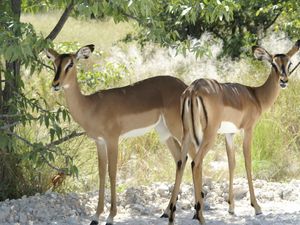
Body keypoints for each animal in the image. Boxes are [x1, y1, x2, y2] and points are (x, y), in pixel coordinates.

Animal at [44, 44, 191, 225]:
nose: (55, 84)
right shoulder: (99, 142)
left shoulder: (112, 140)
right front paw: (95, 216)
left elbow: (112, 173)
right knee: (180, 158)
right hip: (164, 132)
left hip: (179, 129)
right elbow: (101, 173)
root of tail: (185, 87)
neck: (91, 106)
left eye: (70, 63)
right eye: (55, 63)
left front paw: (111, 216)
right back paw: (166, 211)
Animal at [168, 39, 298, 224]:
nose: (284, 80)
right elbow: (248, 162)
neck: (255, 96)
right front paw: (256, 207)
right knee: (195, 163)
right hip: (208, 135)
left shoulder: (229, 134)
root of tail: (193, 89)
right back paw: (200, 216)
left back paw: (171, 216)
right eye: (273, 64)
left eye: (289, 63)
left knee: (181, 162)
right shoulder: (248, 129)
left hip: (186, 133)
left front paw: (231, 207)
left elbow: (232, 163)